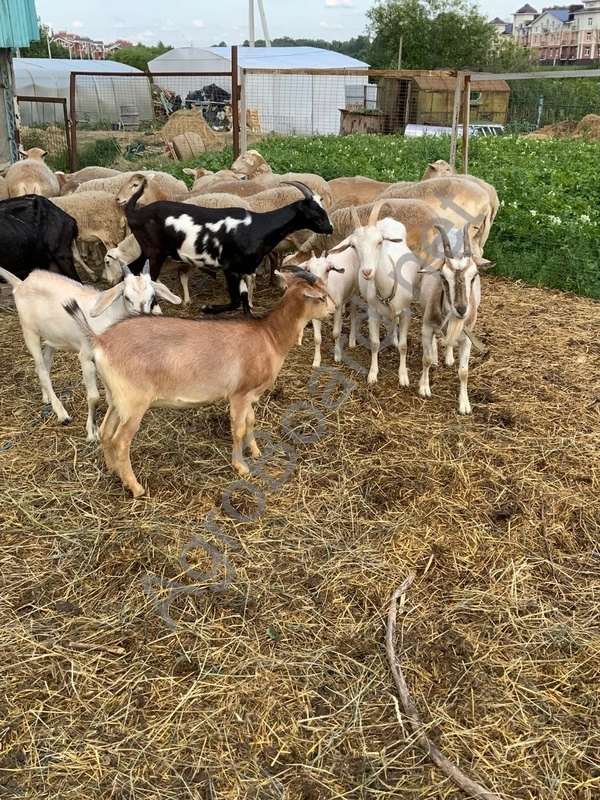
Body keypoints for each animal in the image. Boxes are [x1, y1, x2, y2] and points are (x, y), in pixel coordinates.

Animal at [0, 263, 181, 441]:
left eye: (152, 297)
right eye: (127, 297)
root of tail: (21, 284)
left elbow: (112, 398)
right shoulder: (86, 358)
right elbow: (94, 398)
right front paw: (92, 433)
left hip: (52, 336)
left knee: (44, 365)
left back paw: (47, 398)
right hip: (29, 332)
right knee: (43, 371)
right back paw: (62, 414)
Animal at [64, 270, 335, 497]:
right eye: (321, 297)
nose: (333, 310)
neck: (269, 337)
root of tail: (100, 341)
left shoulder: (248, 394)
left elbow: (250, 421)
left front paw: (256, 452)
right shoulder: (239, 394)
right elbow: (238, 428)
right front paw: (241, 467)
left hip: (116, 397)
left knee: (105, 432)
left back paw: (113, 471)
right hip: (133, 402)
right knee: (120, 440)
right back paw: (136, 487)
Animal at [121, 176, 333, 315]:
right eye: (314, 211)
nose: (330, 228)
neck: (258, 227)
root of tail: (135, 213)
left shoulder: (243, 269)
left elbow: (244, 301)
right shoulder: (230, 268)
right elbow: (235, 302)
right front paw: (208, 308)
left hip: (146, 251)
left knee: (133, 268)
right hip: (155, 253)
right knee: (148, 277)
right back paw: (156, 309)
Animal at [328, 202, 421, 386]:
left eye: (379, 242)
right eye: (353, 246)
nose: (367, 272)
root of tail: (388, 220)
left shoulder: (406, 312)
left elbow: (403, 346)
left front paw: (403, 376)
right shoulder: (373, 312)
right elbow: (374, 343)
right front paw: (372, 374)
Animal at [418, 225, 492, 414]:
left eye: (474, 275)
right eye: (443, 276)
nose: (462, 309)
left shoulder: (467, 338)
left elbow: (464, 372)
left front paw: (464, 405)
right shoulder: (427, 328)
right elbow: (425, 359)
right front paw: (424, 388)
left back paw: (449, 358)